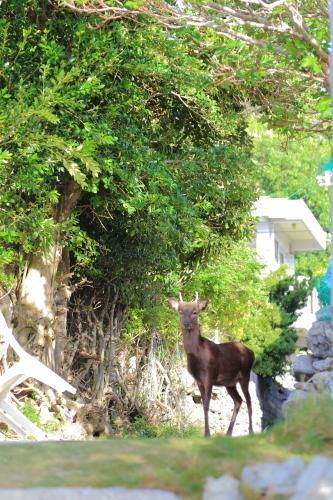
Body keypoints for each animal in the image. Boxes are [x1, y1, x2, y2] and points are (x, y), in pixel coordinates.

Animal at [169, 292, 254, 438]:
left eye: (195, 312)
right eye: (180, 311)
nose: (186, 324)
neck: (197, 354)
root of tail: (252, 352)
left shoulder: (209, 376)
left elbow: (207, 405)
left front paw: (207, 434)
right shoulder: (198, 380)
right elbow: (203, 404)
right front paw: (206, 433)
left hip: (245, 375)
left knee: (249, 401)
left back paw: (251, 431)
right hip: (229, 383)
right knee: (238, 400)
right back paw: (228, 433)